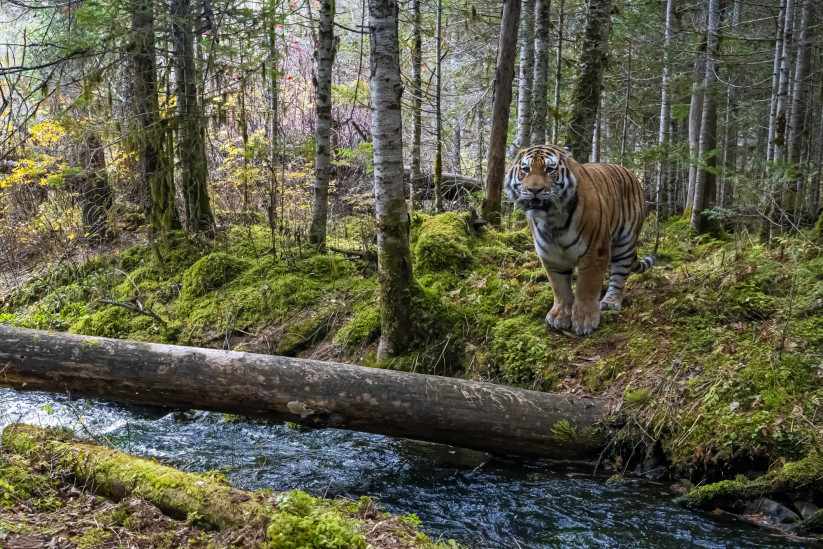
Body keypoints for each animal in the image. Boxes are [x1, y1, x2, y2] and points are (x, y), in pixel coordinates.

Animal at [503, 144, 656, 335]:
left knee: (620, 275)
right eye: (525, 170)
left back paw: (610, 302)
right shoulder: (550, 255)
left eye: (549, 169)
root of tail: (630, 172)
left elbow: (586, 287)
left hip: (625, 242)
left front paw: (585, 321)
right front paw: (559, 316)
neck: (552, 220)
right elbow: (559, 287)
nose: (534, 190)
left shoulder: (595, 251)